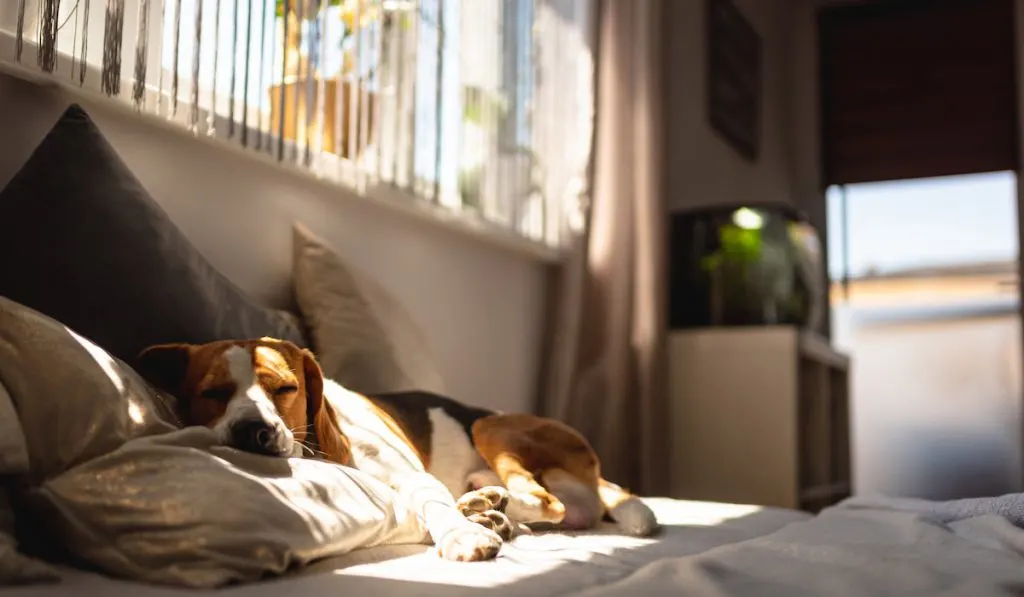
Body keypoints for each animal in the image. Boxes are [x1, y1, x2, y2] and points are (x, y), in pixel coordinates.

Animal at [134, 337, 655, 561]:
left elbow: (433, 506)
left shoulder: (413, 478)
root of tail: (594, 474)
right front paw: (478, 521)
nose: (252, 432)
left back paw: (484, 504)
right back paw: (487, 506)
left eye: (283, 388)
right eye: (213, 392)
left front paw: (463, 534)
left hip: (488, 424)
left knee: (547, 502)